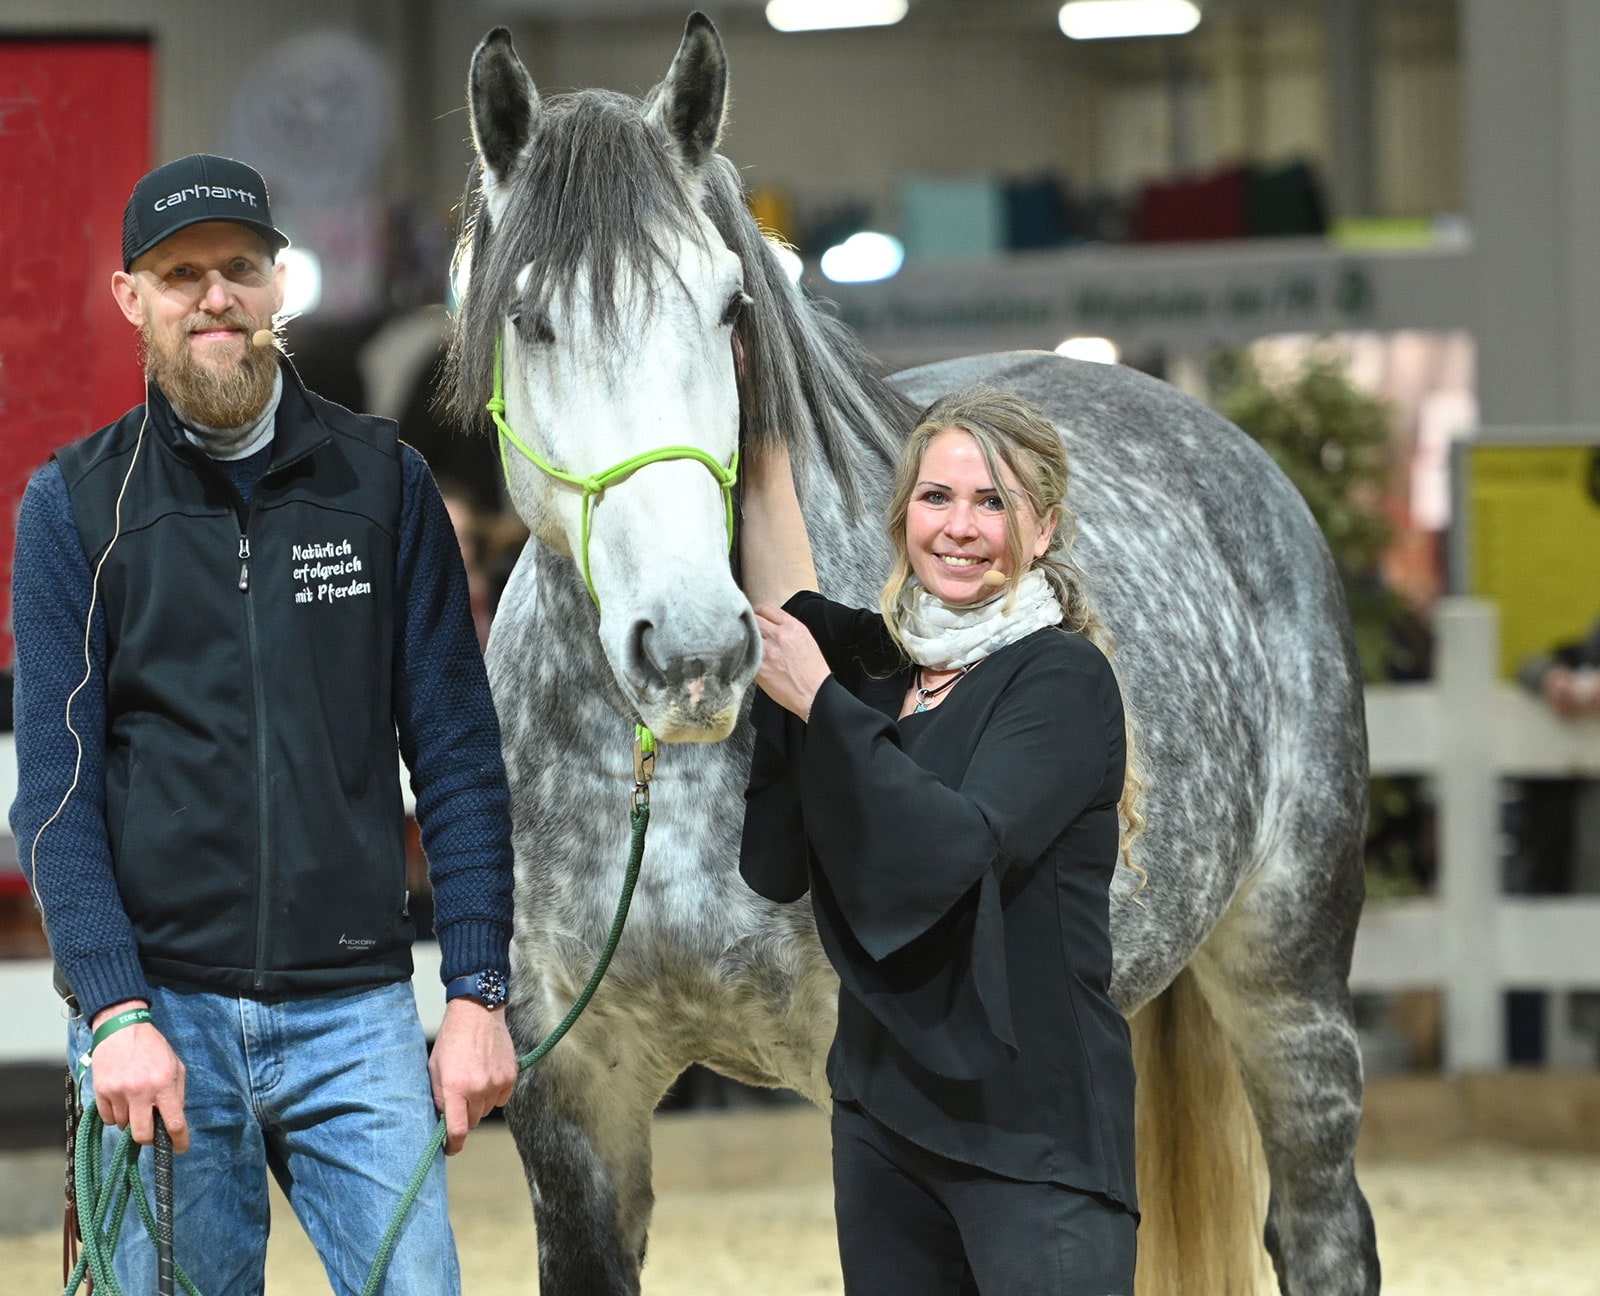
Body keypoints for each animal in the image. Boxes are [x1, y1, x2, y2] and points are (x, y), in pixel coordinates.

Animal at [444, 15, 1381, 1296]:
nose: (694, 648)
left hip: (1288, 984)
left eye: (730, 307)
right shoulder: (573, 1100)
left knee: (1323, 1227)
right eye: (531, 318)